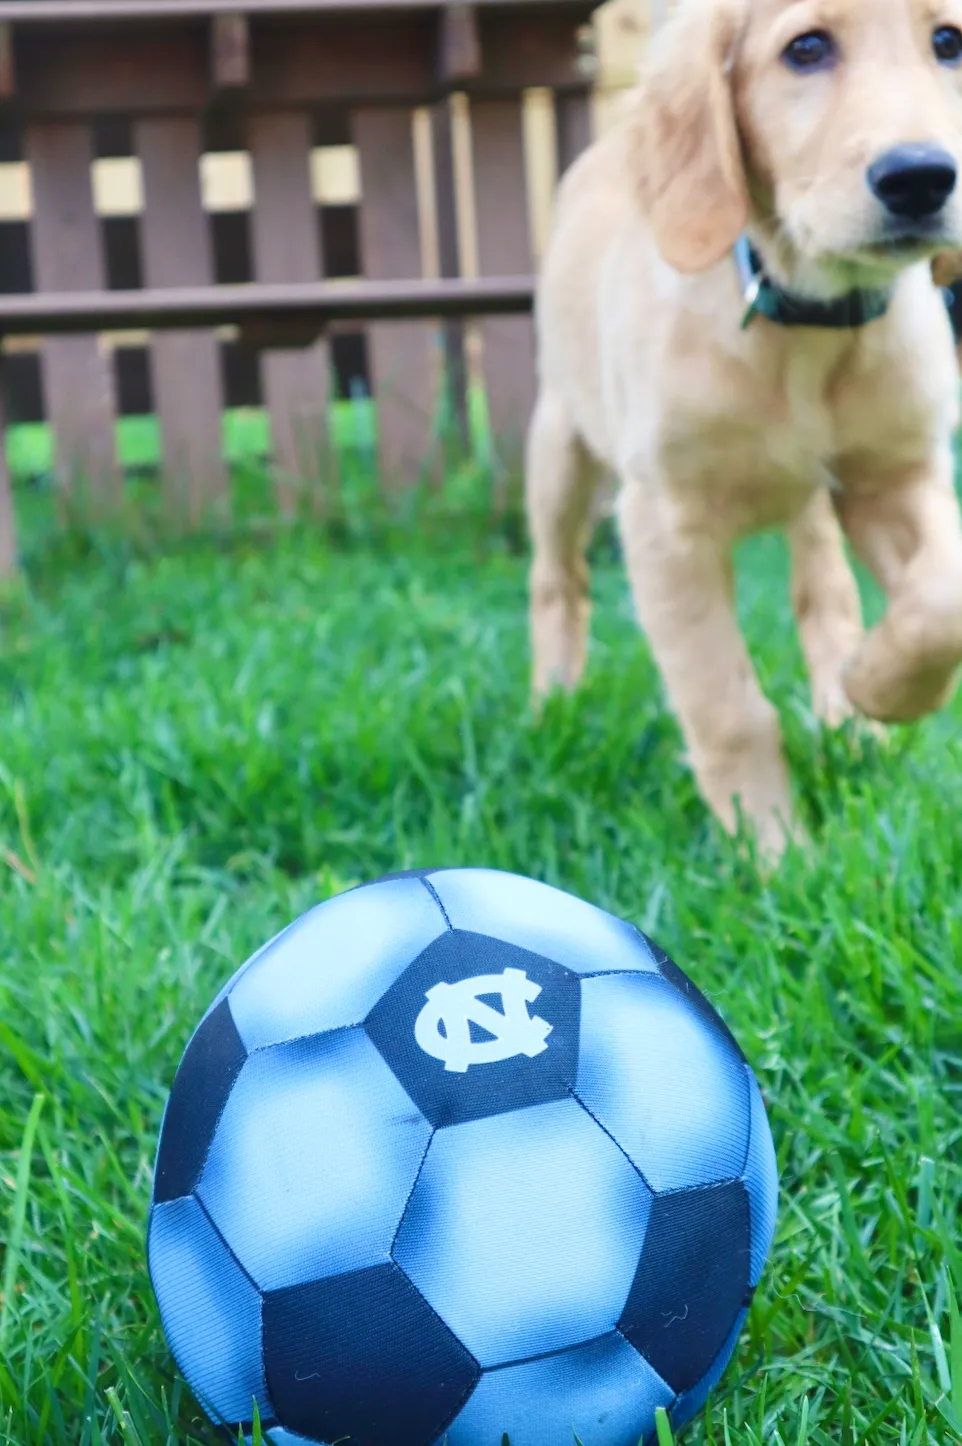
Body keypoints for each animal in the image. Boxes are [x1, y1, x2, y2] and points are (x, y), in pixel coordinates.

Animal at [529, 0, 960, 856]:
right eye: (807, 48)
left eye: (949, 43)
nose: (922, 177)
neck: (806, 318)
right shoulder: (666, 526)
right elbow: (728, 709)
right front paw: (773, 851)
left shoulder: (899, 471)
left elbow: (942, 600)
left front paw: (875, 688)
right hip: (561, 445)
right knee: (557, 579)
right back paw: (549, 707)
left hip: (811, 503)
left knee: (824, 590)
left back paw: (849, 717)